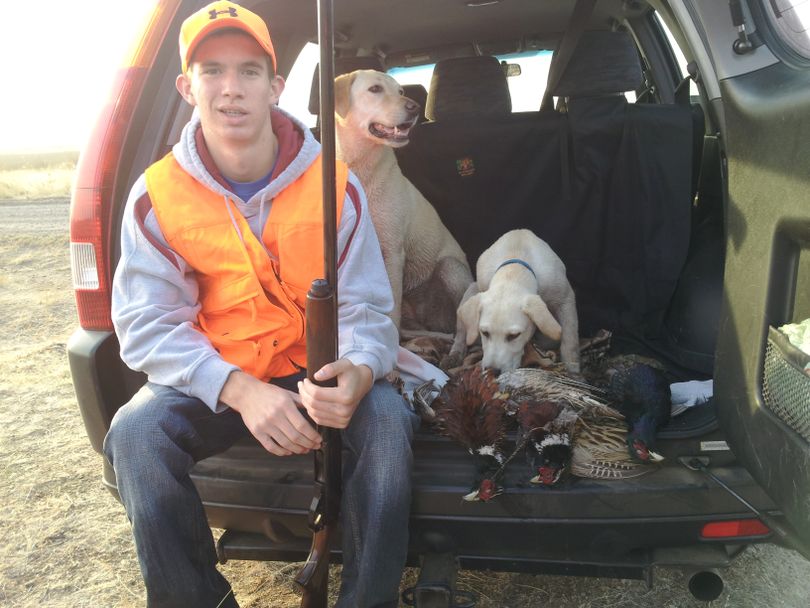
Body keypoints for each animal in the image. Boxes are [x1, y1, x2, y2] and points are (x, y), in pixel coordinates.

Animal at [332, 69, 474, 334]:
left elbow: (390, 310)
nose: (414, 107)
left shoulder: (391, 252)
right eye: (375, 89)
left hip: (450, 268)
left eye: (400, 91)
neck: (362, 168)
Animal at [452, 228, 576, 370]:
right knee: (461, 331)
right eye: (485, 333)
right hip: (472, 289)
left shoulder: (566, 300)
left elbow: (570, 341)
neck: (514, 270)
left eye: (514, 336)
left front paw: (574, 371)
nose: (492, 371)